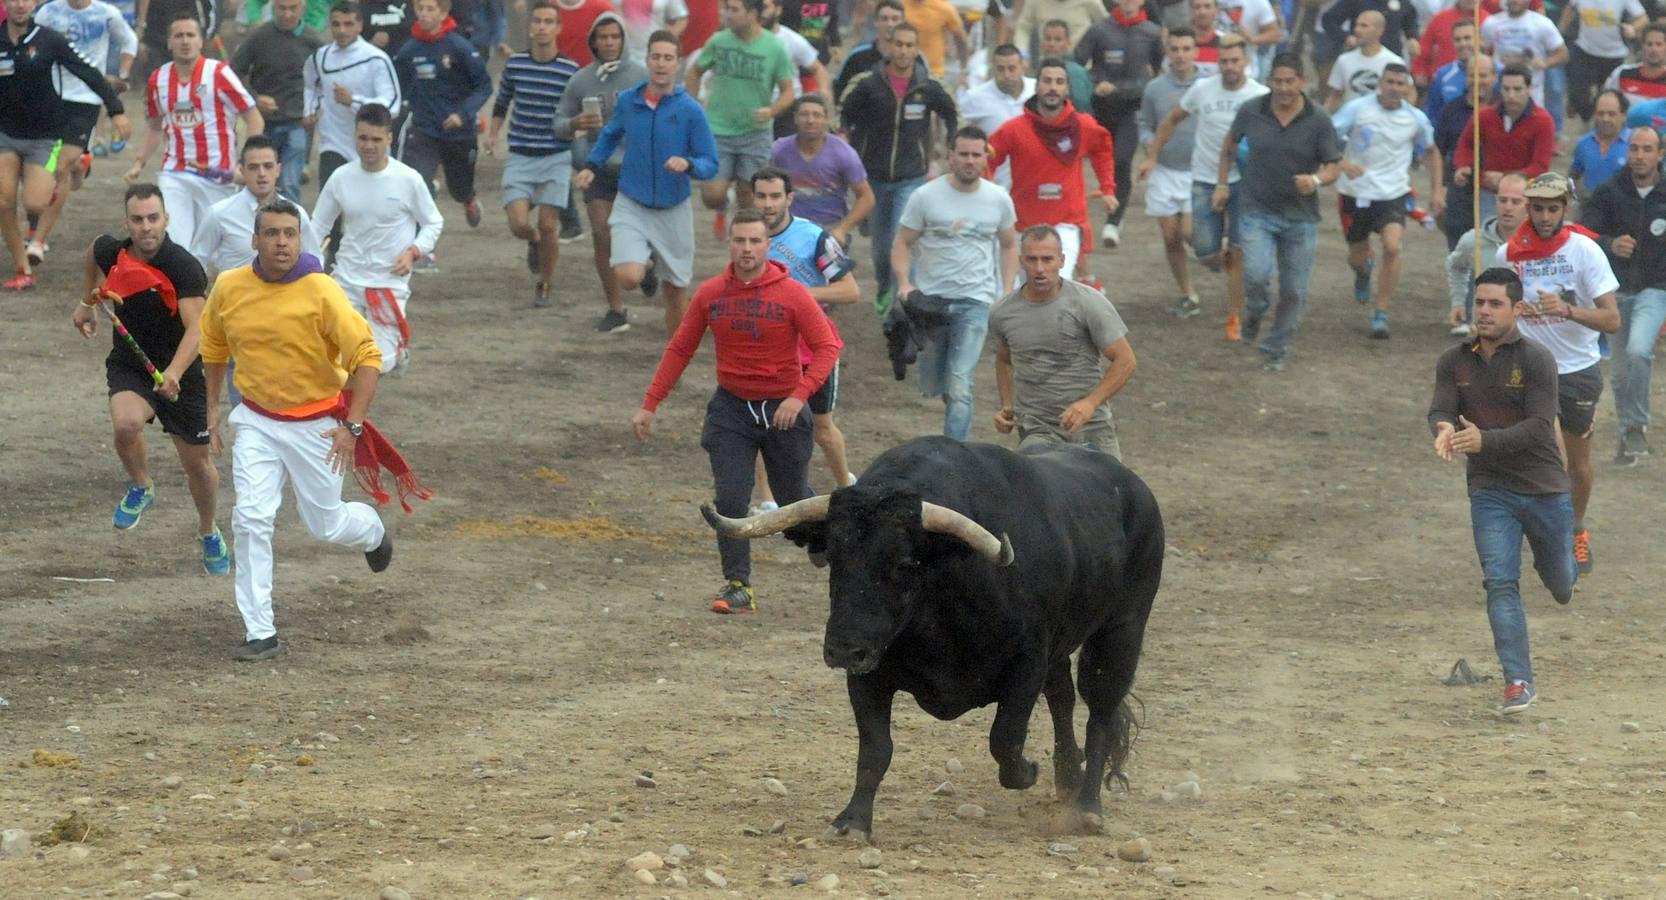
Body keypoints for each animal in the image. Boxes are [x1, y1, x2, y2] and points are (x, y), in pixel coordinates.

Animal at [699, 436, 1159, 836]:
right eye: (832, 556)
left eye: (905, 563)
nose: (843, 649)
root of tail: (1134, 488)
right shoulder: (868, 674)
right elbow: (875, 749)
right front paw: (852, 821)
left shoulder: (1026, 665)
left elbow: (1005, 740)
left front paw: (1029, 771)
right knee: (1063, 698)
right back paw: (1069, 778)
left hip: (1121, 631)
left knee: (1100, 712)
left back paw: (1087, 806)